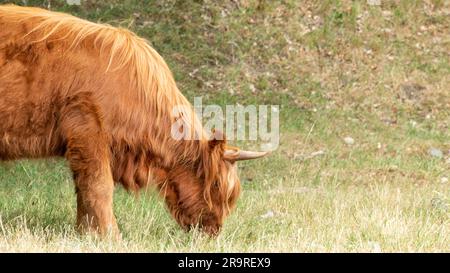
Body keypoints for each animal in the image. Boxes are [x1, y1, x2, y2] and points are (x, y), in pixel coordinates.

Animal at [0, 5, 268, 237]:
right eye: (216, 187)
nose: (214, 230)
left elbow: (83, 190)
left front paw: (85, 232)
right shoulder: (88, 131)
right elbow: (99, 186)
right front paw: (110, 236)